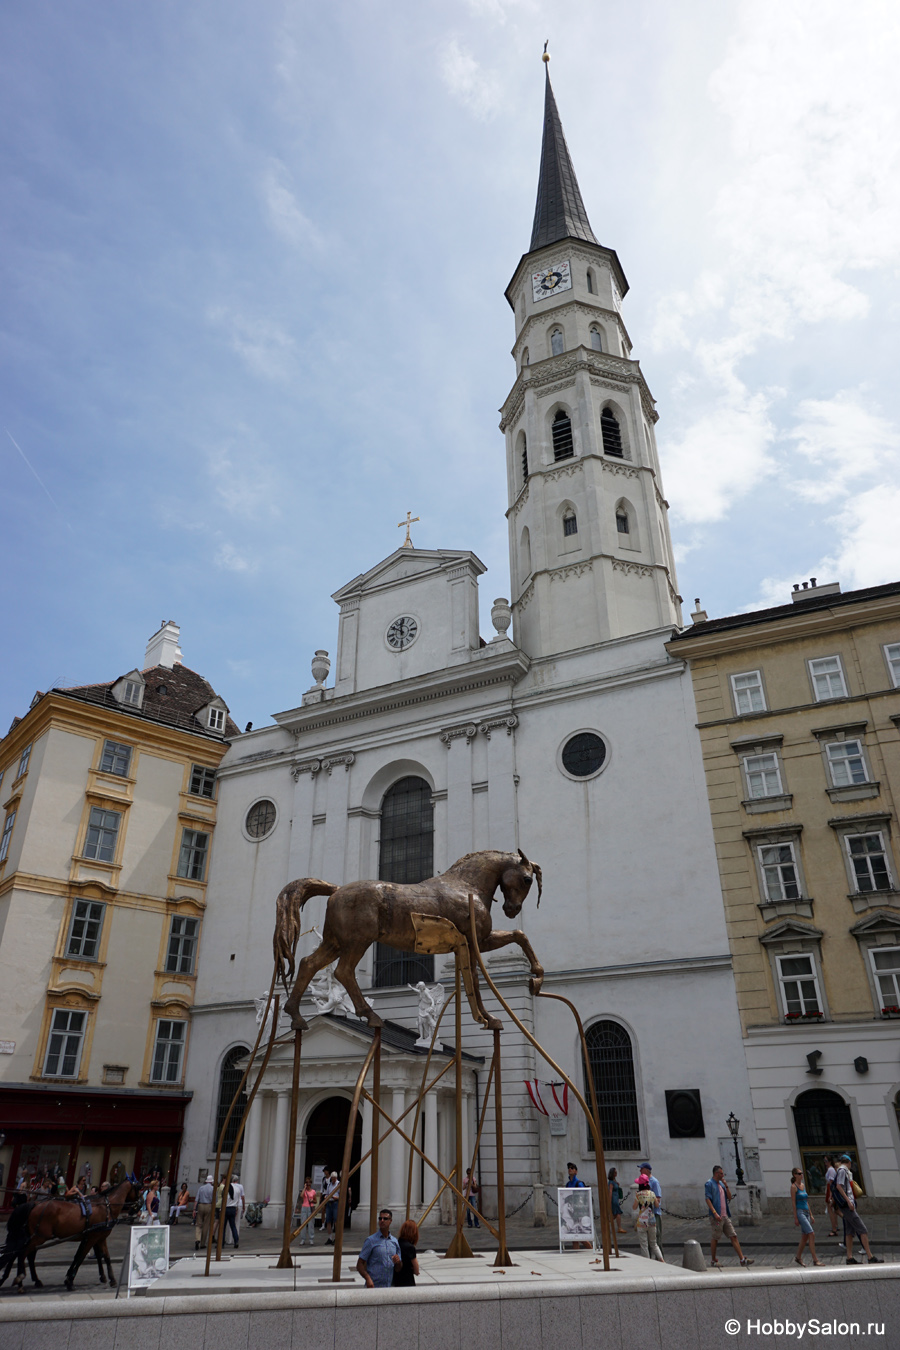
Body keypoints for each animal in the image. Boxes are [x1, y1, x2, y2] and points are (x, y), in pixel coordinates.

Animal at [0, 1177, 138, 1290]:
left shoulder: (97, 1237)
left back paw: (26, 1280)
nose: (138, 1205)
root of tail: (35, 1204)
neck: (106, 1206)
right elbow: (82, 1257)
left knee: (22, 1254)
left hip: (34, 1237)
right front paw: (70, 1281)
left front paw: (110, 1279)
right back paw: (20, 1278)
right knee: (22, 1253)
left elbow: (103, 1256)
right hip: (39, 1237)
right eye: (139, 1187)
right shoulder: (93, 1237)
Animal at [276, 842, 542, 1031]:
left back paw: (296, 1017)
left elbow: (518, 935)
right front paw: (491, 1017)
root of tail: (337, 890)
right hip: (358, 942)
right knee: (343, 971)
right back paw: (371, 1016)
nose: (512, 909)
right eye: (527, 879)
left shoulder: (476, 943)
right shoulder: (474, 942)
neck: (467, 887)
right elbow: (476, 981)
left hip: (335, 943)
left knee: (308, 963)